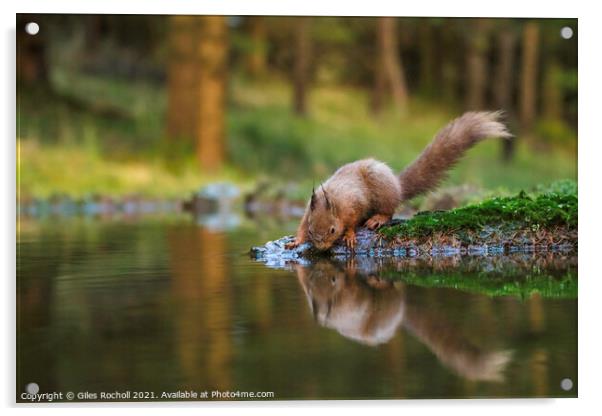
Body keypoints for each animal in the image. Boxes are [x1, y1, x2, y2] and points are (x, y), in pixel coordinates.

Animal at [284, 110, 508, 252]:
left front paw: (349, 234)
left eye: (332, 230)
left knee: (390, 209)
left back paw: (378, 218)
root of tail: (398, 187)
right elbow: (301, 226)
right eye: (312, 230)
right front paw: (297, 240)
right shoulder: (308, 211)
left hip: (382, 190)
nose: (321, 248)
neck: (334, 203)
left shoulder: (355, 204)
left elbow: (353, 221)